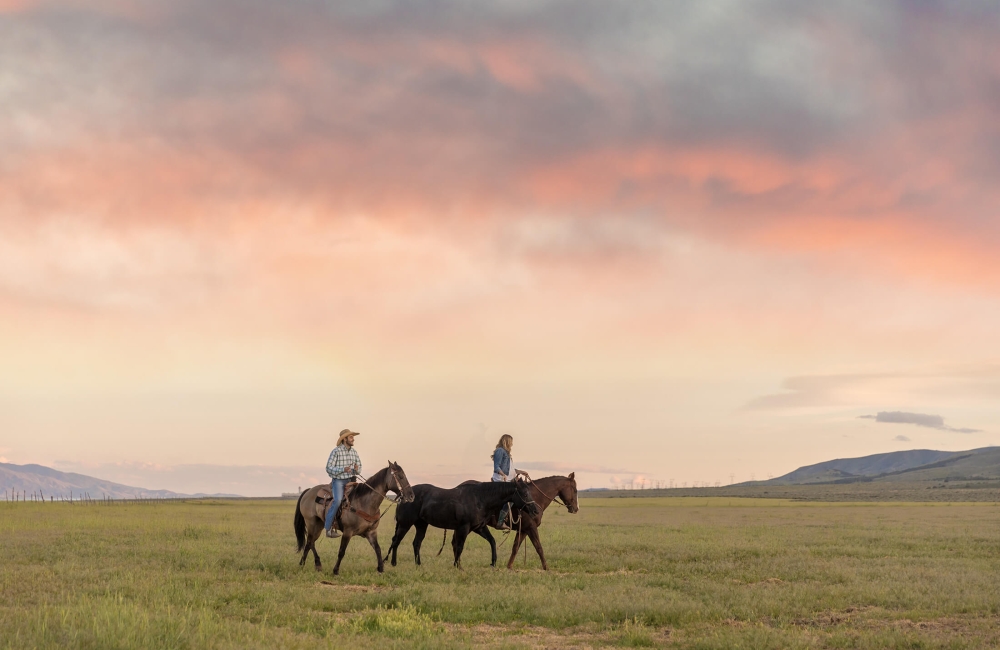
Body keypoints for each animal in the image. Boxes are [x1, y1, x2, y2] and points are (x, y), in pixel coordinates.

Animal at [382, 480, 540, 568]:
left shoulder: (479, 528)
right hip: (405, 524)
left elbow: (492, 541)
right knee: (396, 542)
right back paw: (393, 563)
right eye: (525, 494)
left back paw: (418, 564)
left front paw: (493, 563)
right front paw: (457, 566)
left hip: (421, 525)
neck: (480, 498)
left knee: (416, 543)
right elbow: (459, 546)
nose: (535, 510)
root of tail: (403, 496)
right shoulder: (464, 528)